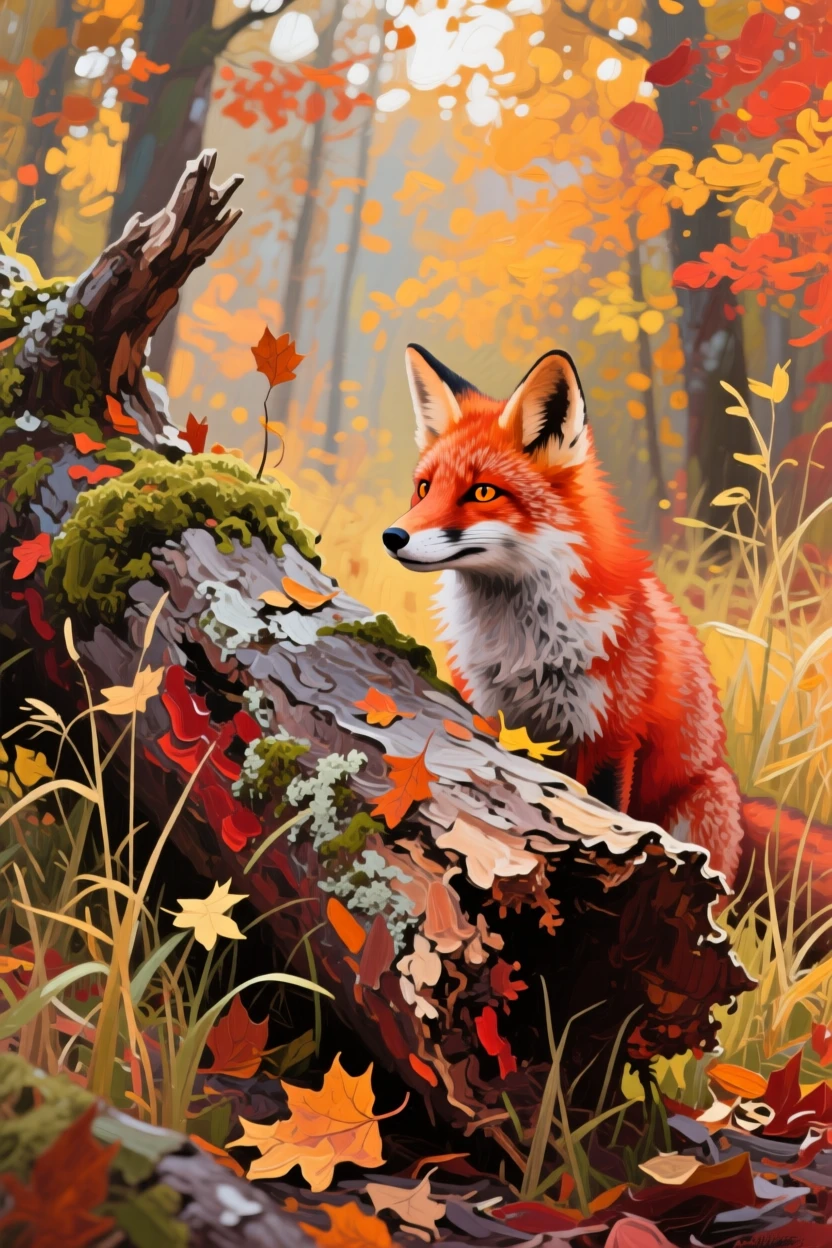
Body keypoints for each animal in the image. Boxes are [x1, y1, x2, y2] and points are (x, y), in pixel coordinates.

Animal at [383, 344, 769, 886]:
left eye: (482, 492)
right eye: (423, 488)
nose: (392, 537)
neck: (524, 648)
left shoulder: (612, 737)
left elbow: (612, 819)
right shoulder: (494, 719)